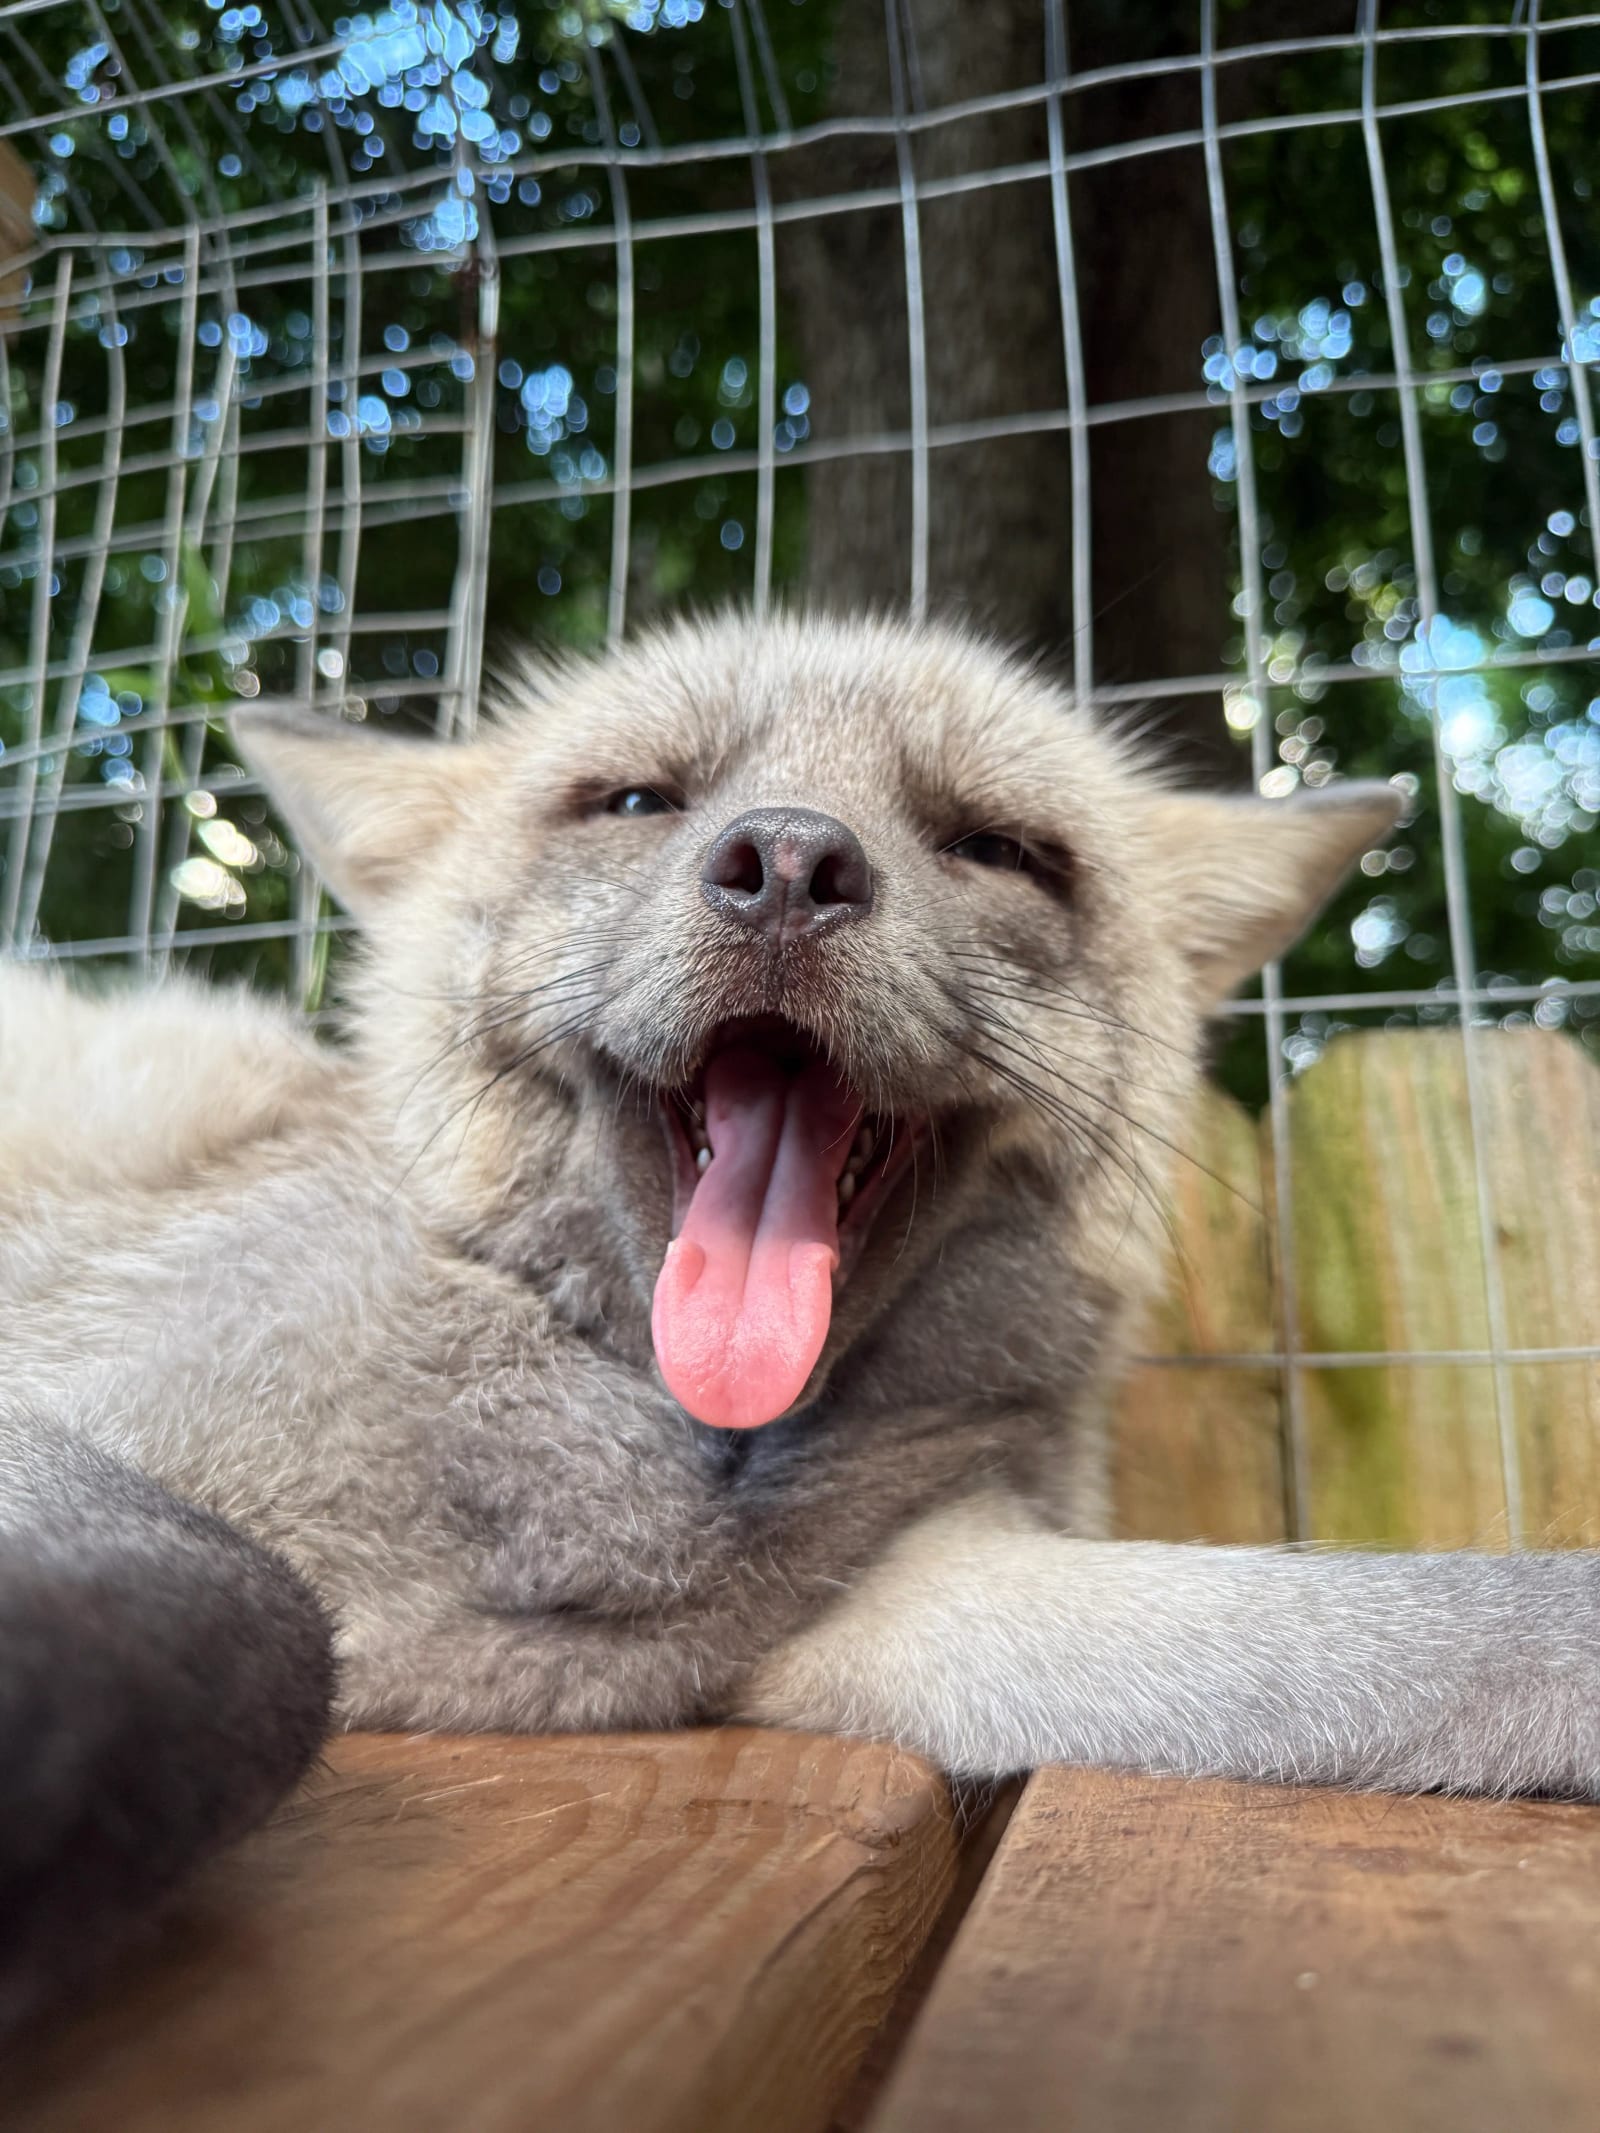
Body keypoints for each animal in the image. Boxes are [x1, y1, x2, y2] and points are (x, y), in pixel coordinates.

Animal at [4, 611, 1599, 2030]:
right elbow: (263, 1627)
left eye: (994, 847)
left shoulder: (897, 1587)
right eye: (638, 800)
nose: (785, 864)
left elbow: (1449, 1630)